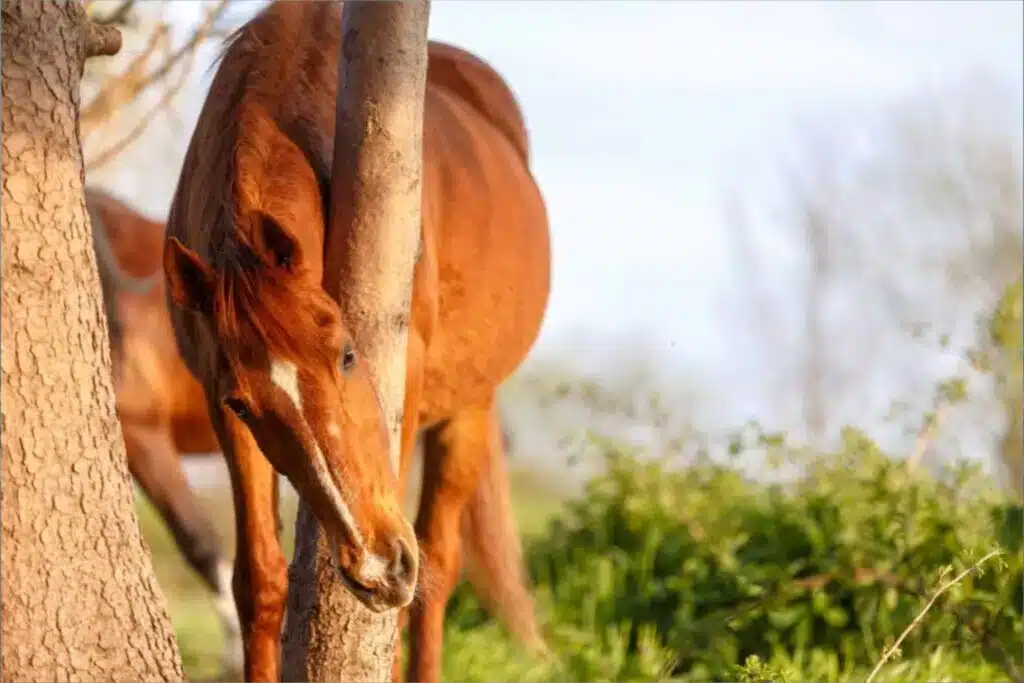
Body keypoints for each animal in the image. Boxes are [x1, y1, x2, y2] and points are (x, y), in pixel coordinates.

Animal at [160, 2, 550, 682]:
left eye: (347, 356)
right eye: (245, 404)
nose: (376, 570)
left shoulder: (406, 376)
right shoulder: (217, 399)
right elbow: (259, 581)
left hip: (468, 407)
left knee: (438, 568)